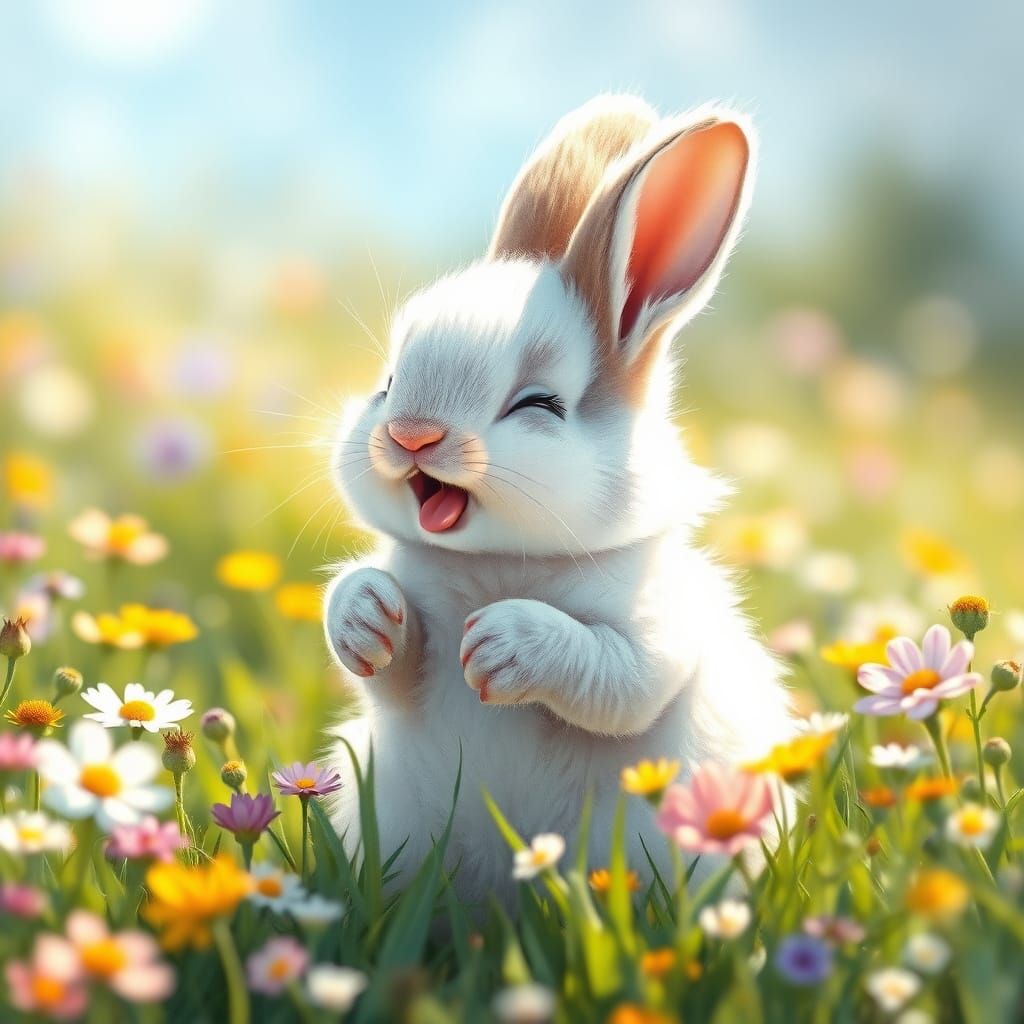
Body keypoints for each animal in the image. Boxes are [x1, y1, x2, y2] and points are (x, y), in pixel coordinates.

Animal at [323, 94, 794, 908]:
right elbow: (386, 659)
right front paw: (367, 615)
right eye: (386, 382)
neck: (496, 563)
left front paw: (500, 645)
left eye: (538, 405)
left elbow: (612, 673)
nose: (411, 433)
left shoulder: (654, 632)